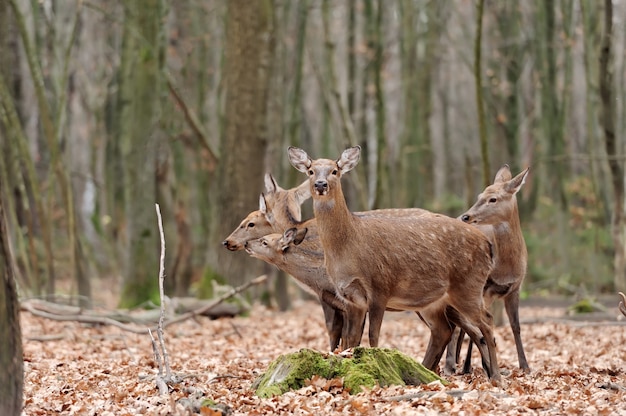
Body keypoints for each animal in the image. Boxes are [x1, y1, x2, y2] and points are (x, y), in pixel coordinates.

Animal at [288, 145, 502, 380]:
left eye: (335, 171)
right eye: (310, 171)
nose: (320, 184)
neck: (348, 249)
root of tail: (487, 245)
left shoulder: (380, 286)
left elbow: (373, 336)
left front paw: (375, 366)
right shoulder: (351, 297)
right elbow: (350, 339)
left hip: (468, 285)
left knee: (487, 322)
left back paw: (496, 377)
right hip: (434, 301)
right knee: (443, 329)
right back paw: (426, 370)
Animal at [444, 164, 532, 376]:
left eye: (493, 199)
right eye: (479, 195)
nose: (466, 216)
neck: (506, 266)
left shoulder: (514, 288)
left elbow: (516, 326)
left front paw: (525, 366)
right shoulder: (484, 288)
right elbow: (478, 327)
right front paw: (483, 365)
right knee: (458, 324)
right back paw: (452, 364)